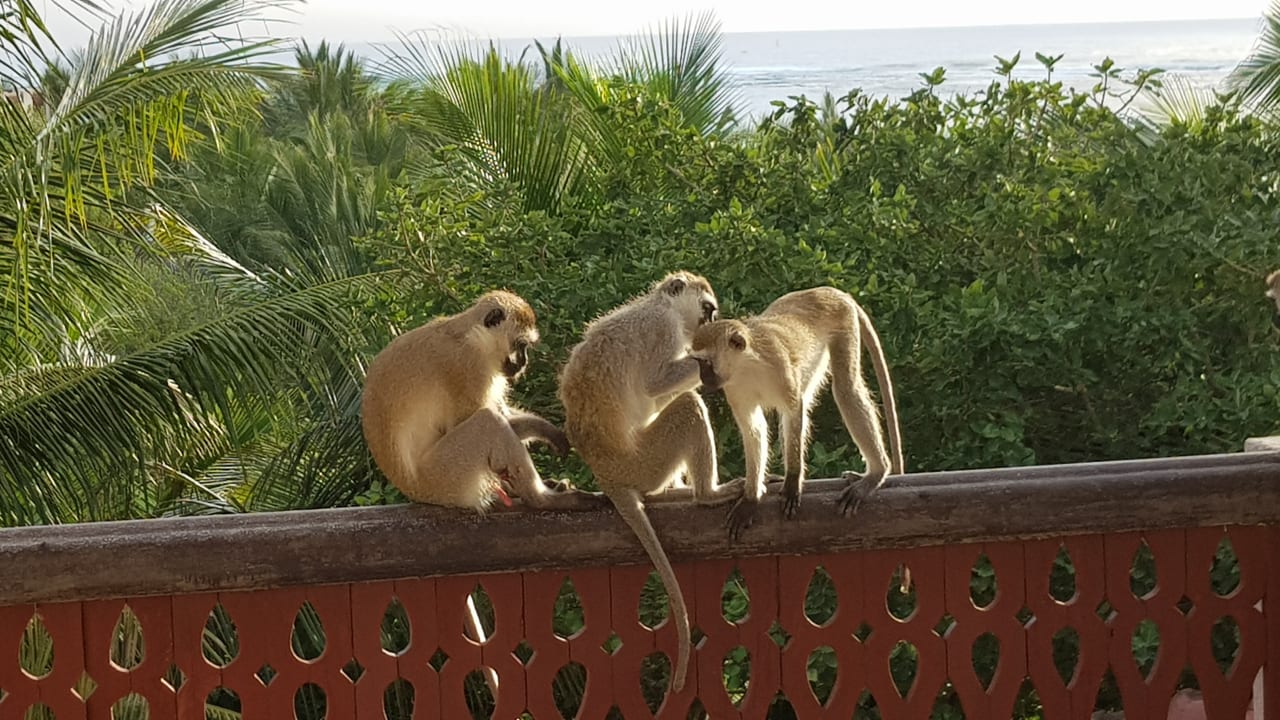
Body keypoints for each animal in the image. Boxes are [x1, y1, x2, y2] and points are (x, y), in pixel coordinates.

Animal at [558, 271, 744, 694]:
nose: (708, 325)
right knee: (687, 405)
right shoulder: (664, 330)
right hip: (645, 462)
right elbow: (656, 385)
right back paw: (706, 494)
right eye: (708, 310)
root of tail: (608, 475)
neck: (661, 305)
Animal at [690, 286, 904, 537]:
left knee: (846, 389)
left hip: (844, 322)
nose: (703, 378)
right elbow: (753, 428)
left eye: (705, 363)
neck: (747, 366)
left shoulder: (779, 367)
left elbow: (793, 411)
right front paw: (751, 497)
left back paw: (875, 474)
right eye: (698, 363)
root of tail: (827, 290)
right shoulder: (733, 387)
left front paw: (792, 482)